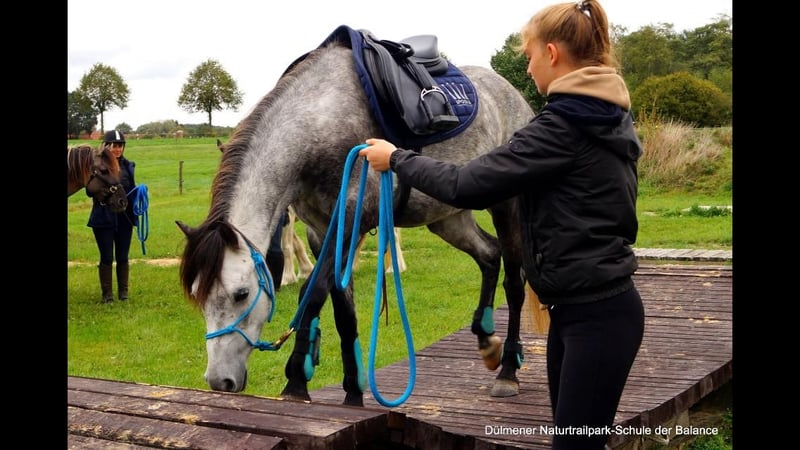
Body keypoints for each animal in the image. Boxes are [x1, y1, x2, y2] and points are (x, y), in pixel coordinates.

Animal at [177, 33, 533, 406]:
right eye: (197, 295)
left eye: (241, 294)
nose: (219, 380)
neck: (320, 121)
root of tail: (514, 94)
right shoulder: (321, 232)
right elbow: (343, 311)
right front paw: (352, 393)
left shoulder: (351, 223)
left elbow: (312, 293)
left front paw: (296, 381)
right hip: (448, 219)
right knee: (489, 255)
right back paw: (486, 339)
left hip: (506, 207)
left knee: (514, 281)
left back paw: (508, 369)